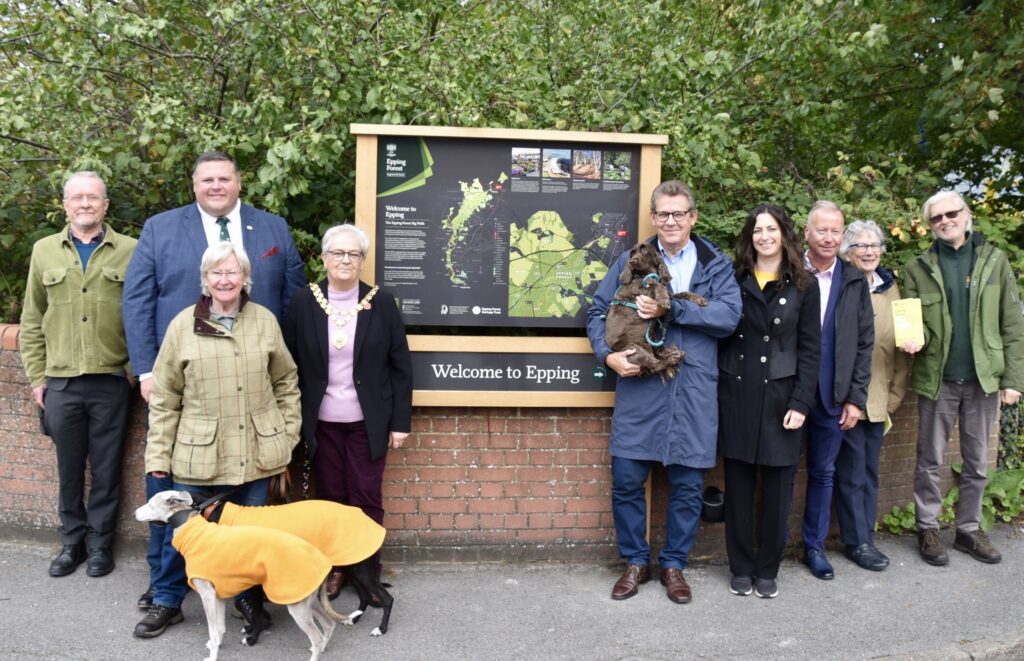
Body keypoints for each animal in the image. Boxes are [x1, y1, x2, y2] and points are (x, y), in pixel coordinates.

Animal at [135, 491, 360, 661]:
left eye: (150, 504)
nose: (134, 512)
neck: (196, 531)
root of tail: (322, 560)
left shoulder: (207, 595)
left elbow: (213, 630)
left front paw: (213, 656)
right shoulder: (217, 595)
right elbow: (219, 629)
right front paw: (217, 645)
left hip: (297, 606)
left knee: (317, 636)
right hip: (306, 600)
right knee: (328, 625)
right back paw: (321, 648)